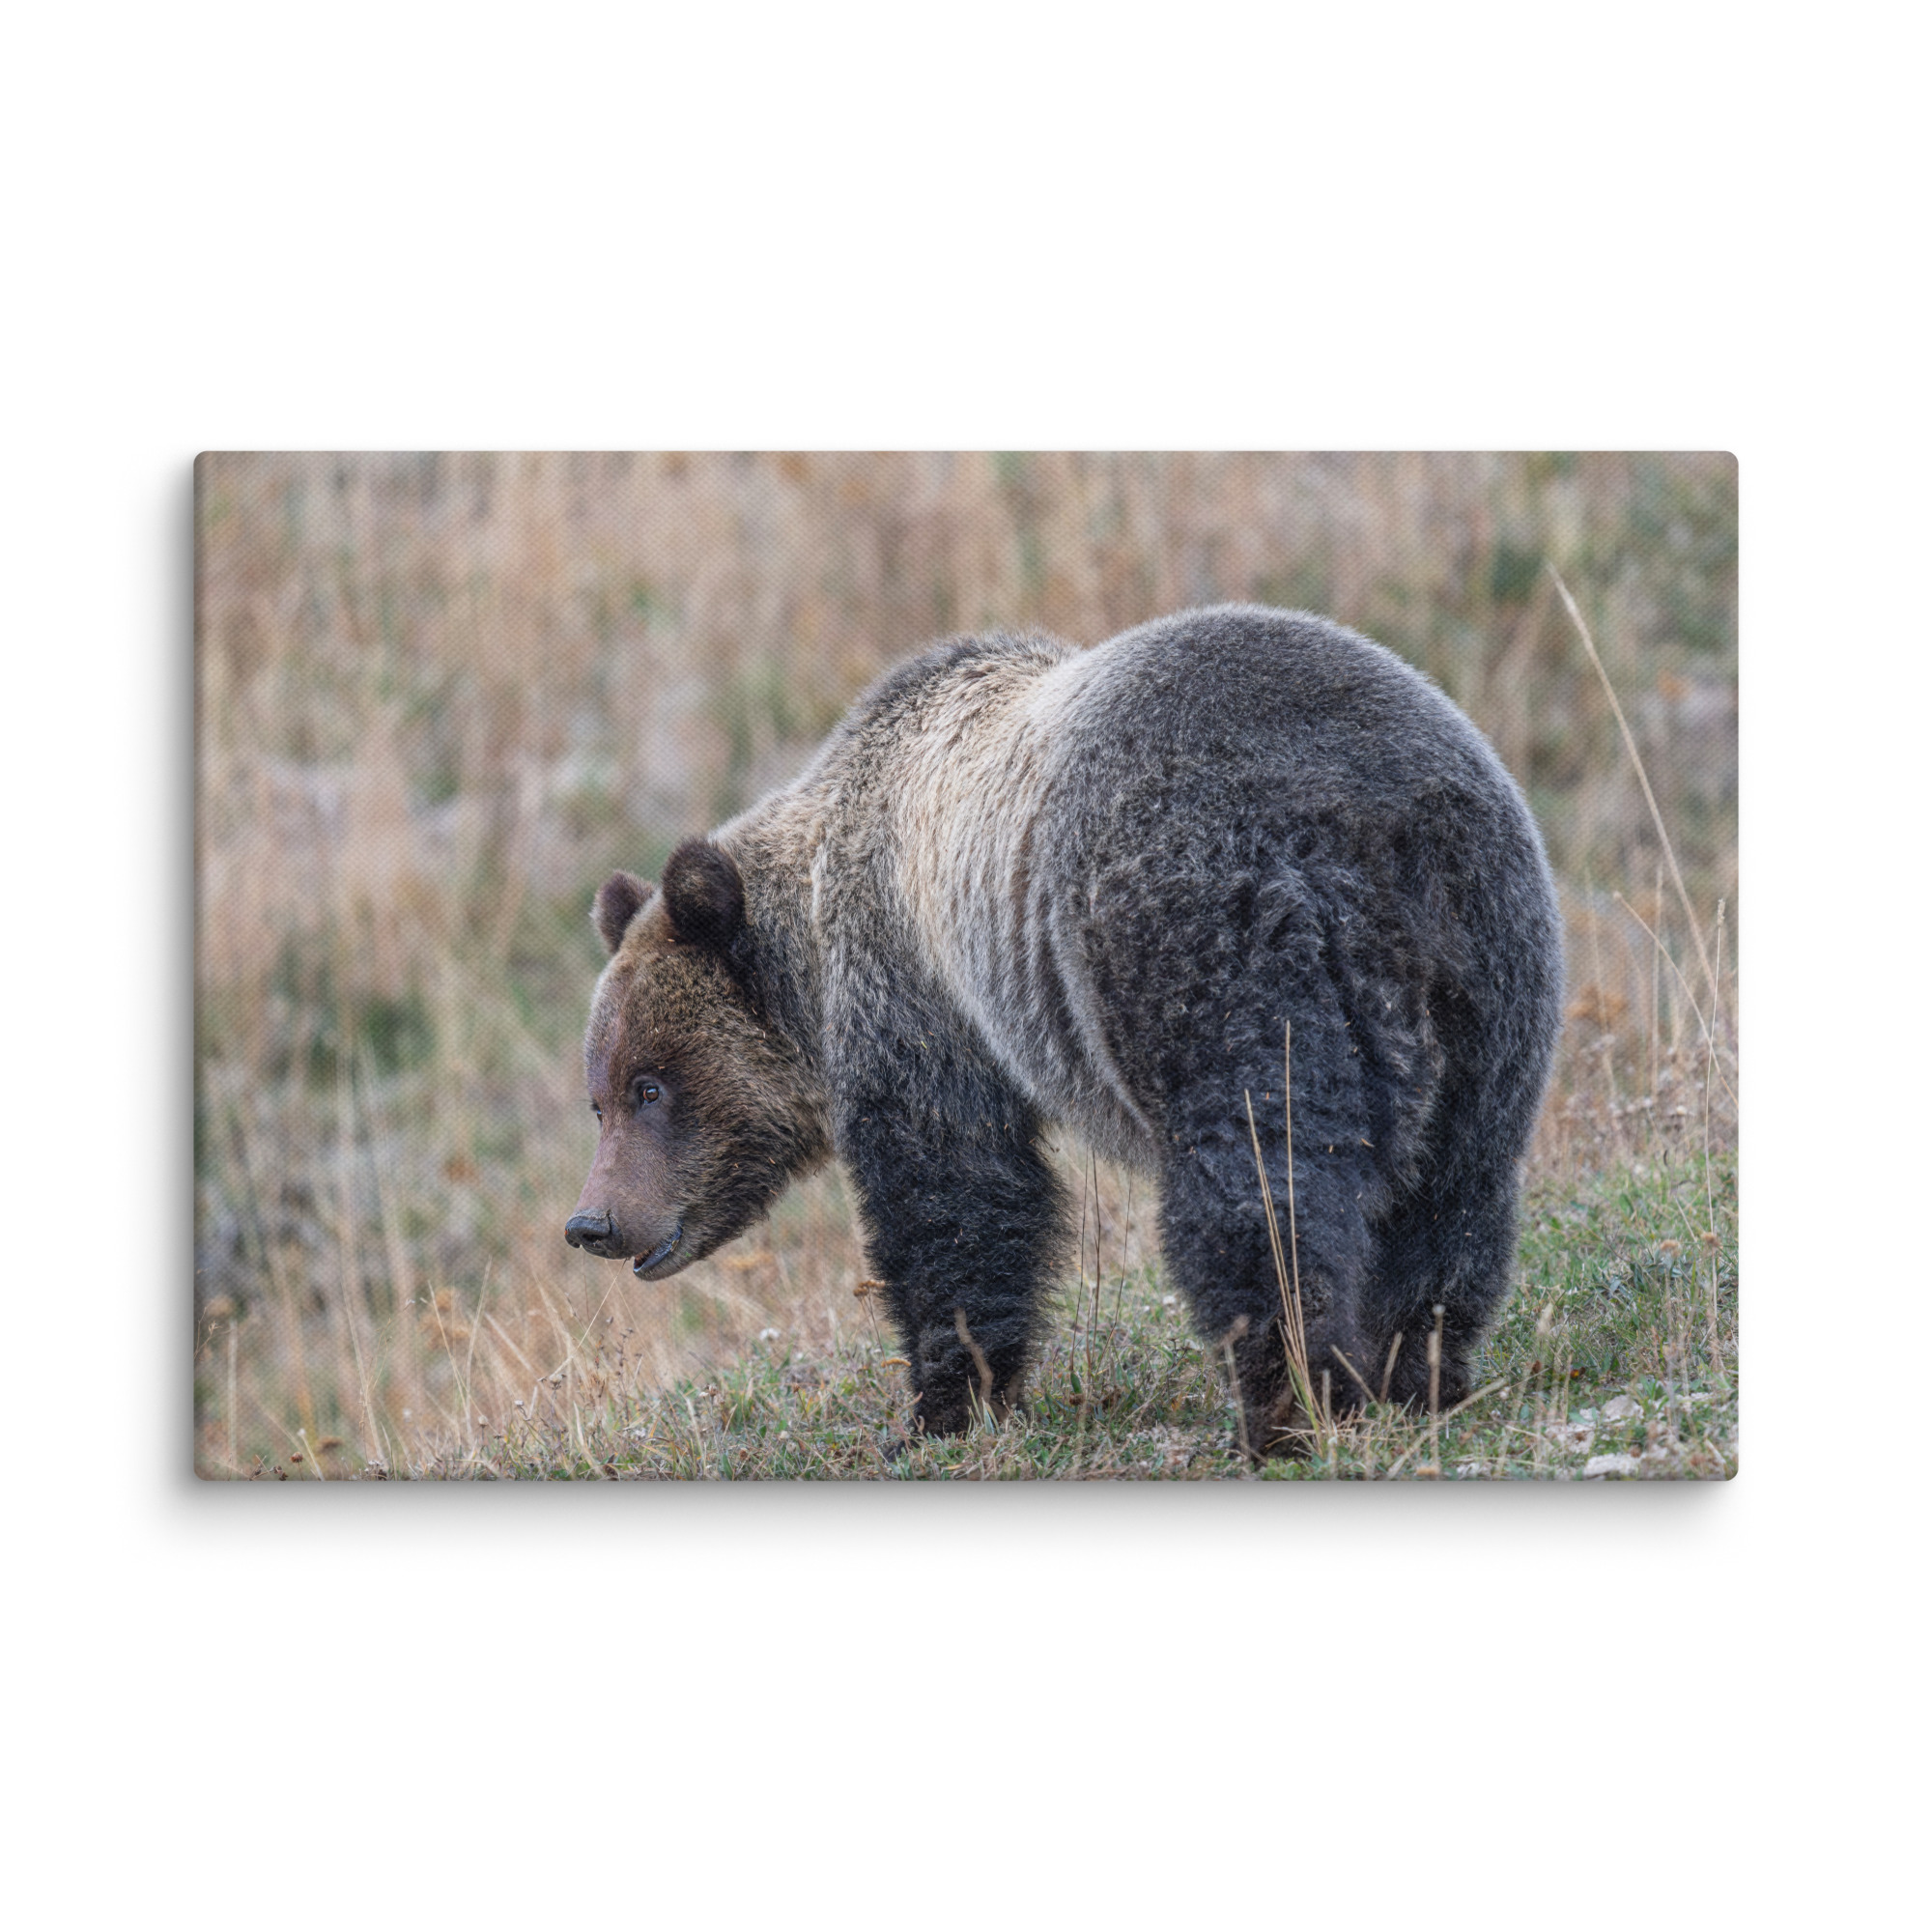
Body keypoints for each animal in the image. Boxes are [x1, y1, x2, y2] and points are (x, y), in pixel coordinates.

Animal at [565, 604, 1563, 1453]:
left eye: (650, 1085)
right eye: (599, 1097)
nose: (593, 1222)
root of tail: (1371, 822)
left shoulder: (918, 988)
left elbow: (954, 1191)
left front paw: (942, 1406)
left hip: (1209, 938)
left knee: (1260, 1184)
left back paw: (1287, 1404)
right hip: (1490, 966)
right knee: (1455, 1188)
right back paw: (1416, 1373)